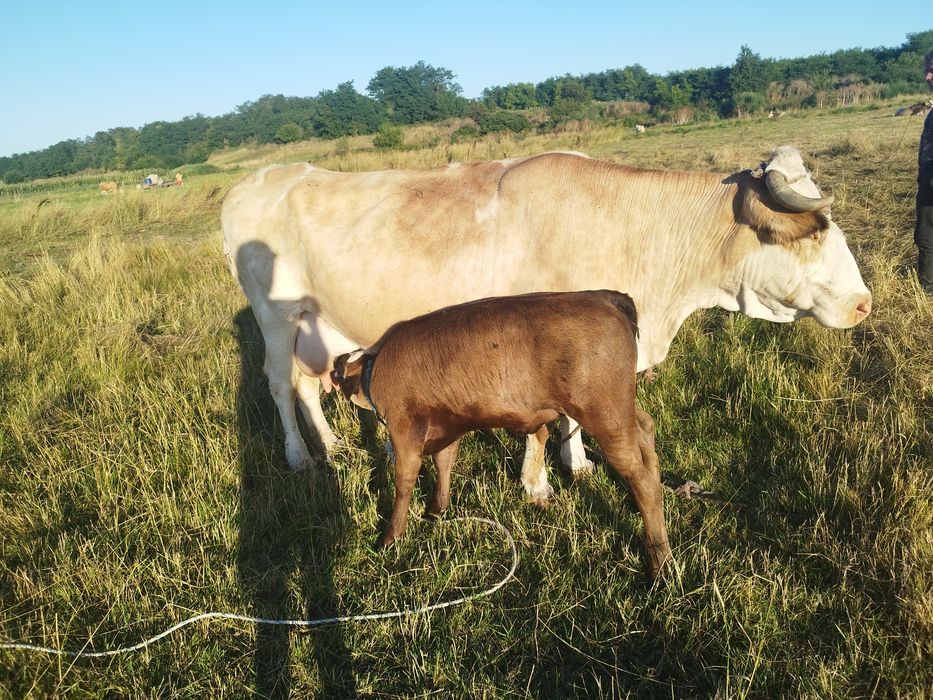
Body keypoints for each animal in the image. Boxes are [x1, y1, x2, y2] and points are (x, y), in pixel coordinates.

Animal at [221, 145, 872, 501]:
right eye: (813, 232)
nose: (865, 303)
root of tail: (257, 179)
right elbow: (551, 414)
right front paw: (540, 480)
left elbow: (573, 415)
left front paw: (576, 462)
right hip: (276, 315)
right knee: (279, 385)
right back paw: (301, 458)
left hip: (314, 322)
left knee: (308, 385)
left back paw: (333, 446)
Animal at [329, 290, 672, 579]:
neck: (374, 368)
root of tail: (604, 297)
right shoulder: (448, 425)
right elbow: (444, 462)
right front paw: (437, 510)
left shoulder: (404, 431)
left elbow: (404, 481)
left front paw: (390, 538)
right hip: (621, 409)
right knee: (646, 431)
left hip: (605, 415)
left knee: (643, 481)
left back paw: (660, 563)